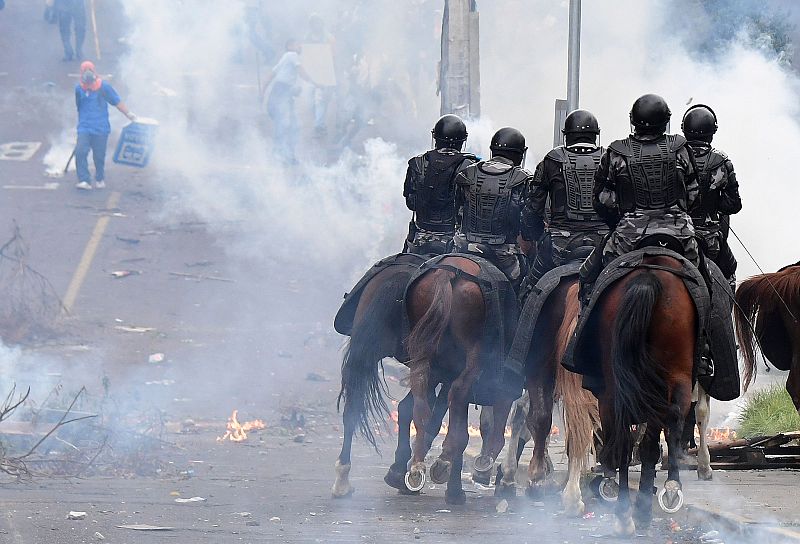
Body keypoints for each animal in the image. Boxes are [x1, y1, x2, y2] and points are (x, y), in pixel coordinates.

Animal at [404, 258, 516, 504]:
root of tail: (448, 273)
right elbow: (498, 422)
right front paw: (485, 465)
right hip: (475, 354)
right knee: (458, 391)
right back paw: (444, 459)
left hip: (424, 350)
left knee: (421, 389)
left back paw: (417, 462)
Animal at [592, 256, 696, 536]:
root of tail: (648, 278)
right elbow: (655, 442)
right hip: (676, 377)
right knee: (671, 421)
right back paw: (668, 489)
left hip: (613, 388)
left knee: (622, 439)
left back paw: (623, 512)